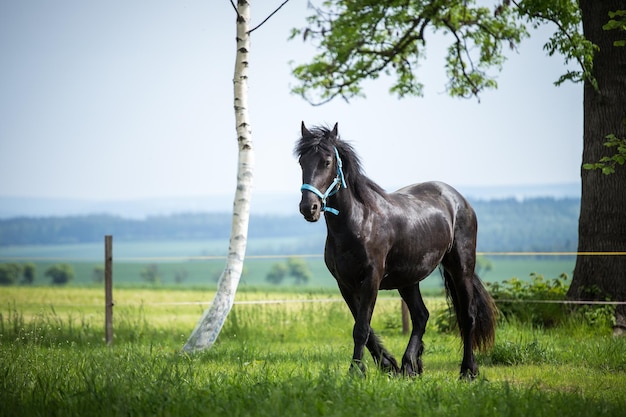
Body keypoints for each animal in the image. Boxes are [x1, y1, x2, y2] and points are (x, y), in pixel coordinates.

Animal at [294, 120, 494, 376]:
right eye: (302, 162)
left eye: (327, 162)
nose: (309, 207)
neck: (359, 222)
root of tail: (459, 200)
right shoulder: (345, 284)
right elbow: (365, 328)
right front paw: (388, 364)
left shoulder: (371, 279)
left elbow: (361, 328)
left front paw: (356, 371)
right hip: (408, 280)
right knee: (421, 316)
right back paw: (410, 365)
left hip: (461, 268)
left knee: (467, 316)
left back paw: (467, 371)